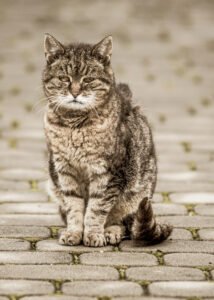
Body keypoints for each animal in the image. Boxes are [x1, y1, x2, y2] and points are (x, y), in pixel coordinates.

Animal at [42, 34, 172, 247]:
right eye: (64, 78)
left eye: (88, 79)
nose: (75, 92)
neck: (73, 126)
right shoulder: (65, 171)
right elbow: (74, 207)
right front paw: (74, 233)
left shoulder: (107, 173)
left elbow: (96, 208)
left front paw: (93, 234)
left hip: (138, 195)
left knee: (125, 224)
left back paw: (111, 232)